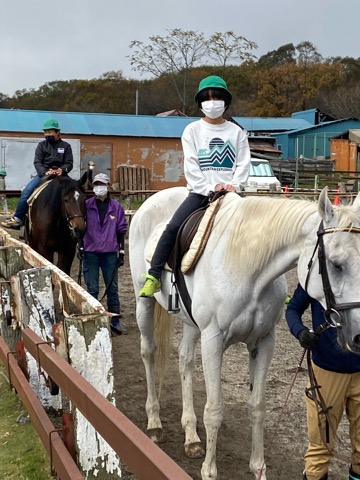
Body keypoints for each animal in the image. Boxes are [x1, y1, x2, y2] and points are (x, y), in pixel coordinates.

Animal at [129, 187, 360, 480]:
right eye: (336, 264)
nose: (358, 336)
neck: (250, 271)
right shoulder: (213, 340)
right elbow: (214, 410)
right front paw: (209, 472)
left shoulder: (264, 342)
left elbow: (257, 406)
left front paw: (258, 467)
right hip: (144, 304)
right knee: (148, 351)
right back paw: (155, 423)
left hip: (192, 324)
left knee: (185, 360)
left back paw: (191, 436)